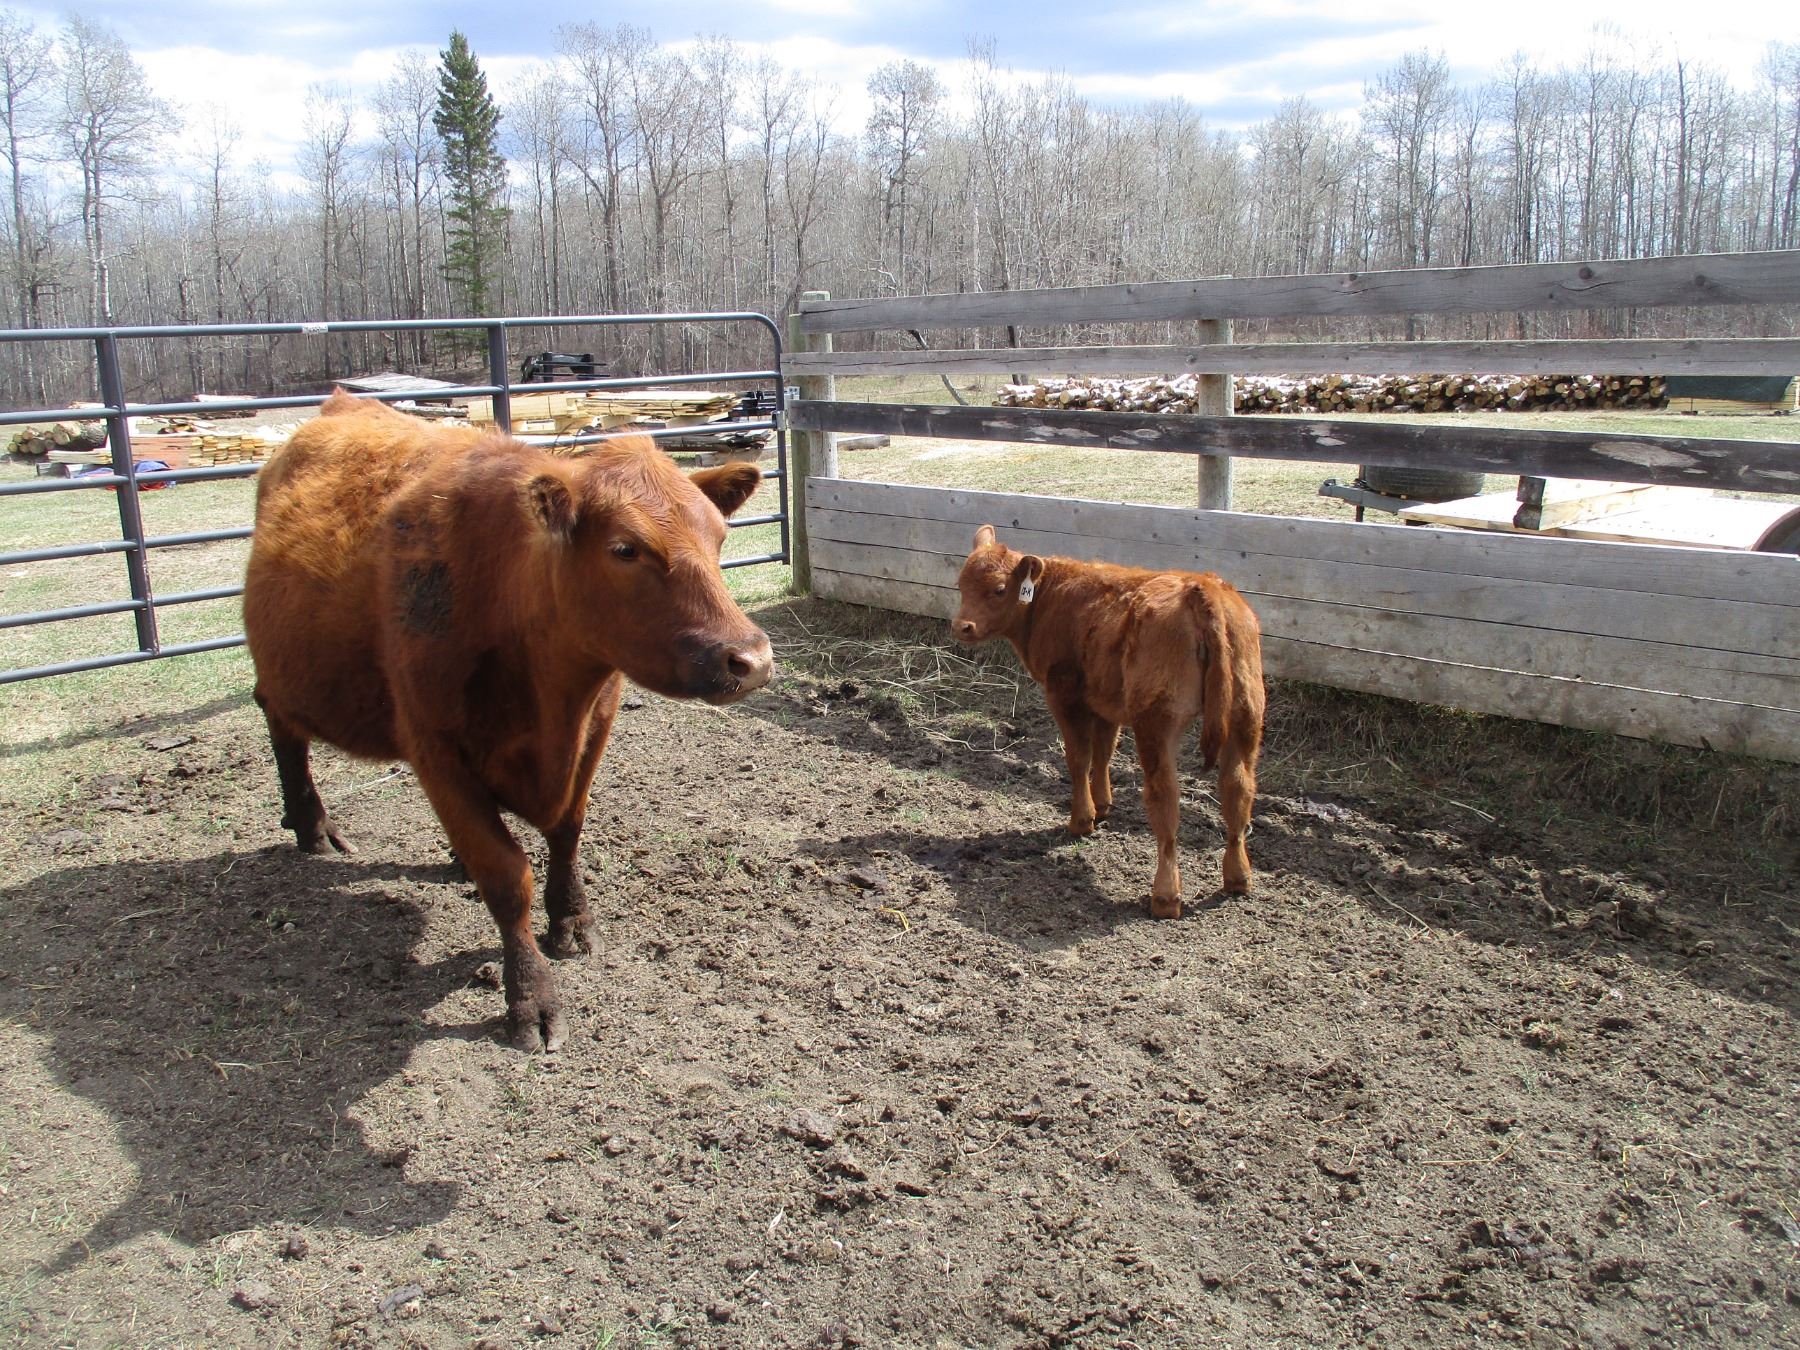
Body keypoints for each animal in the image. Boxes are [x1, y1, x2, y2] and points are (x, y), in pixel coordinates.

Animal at [243, 392, 773, 1051]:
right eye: (625, 548)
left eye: (720, 536)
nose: (751, 659)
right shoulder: (435, 748)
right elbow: (505, 875)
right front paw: (531, 997)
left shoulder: (592, 731)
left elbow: (567, 834)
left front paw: (571, 920)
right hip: (282, 676)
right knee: (283, 728)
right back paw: (312, 825)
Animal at [952, 525, 1264, 918]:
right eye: (960, 585)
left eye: (998, 589)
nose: (962, 627)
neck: (1049, 598)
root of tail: (1202, 587)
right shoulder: (1106, 702)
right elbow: (1104, 753)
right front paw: (1102, 806)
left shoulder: (1065, 694)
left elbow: (1079, 758)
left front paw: (1082, 820)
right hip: (1246, 715)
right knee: (1238, 789)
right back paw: (1238, 877)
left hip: (1156, 723)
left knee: (1166, 798)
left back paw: (1166, 896)